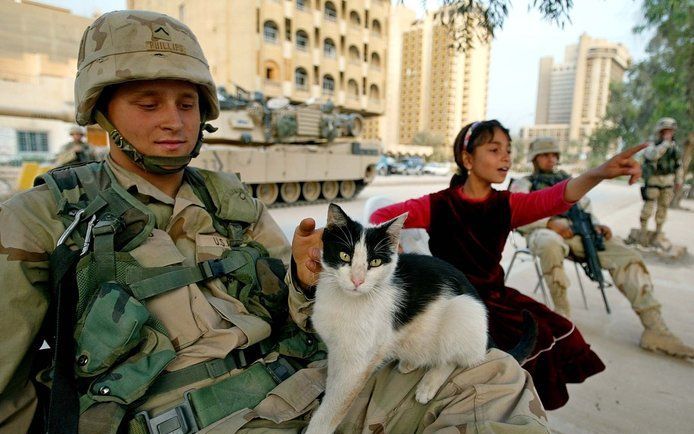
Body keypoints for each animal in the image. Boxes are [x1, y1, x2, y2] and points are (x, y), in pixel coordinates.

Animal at [308, 204, 492, 434]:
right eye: (344, 255)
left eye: (375, 262)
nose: (357, 280)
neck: (347, 302)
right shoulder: (336, 349)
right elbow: (333, 384)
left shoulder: (357, 364)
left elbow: (335, 407)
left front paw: (318, 426)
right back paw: (409, 362)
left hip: (463, 311)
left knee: (456, 358)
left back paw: (428, 385)